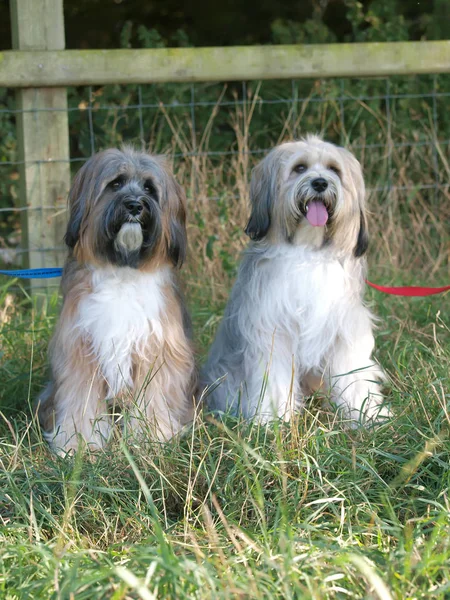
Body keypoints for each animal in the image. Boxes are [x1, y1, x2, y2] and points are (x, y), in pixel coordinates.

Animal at [39, 148, 198, 452]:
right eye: (115, 183)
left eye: (149, 188)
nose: (135, 205)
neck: (123, 271)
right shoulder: (81, 349)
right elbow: (81, 401)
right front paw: (78, 444)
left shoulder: (157, 350)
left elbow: (152, 399)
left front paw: (151, 438)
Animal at [202, 136, 388, 426]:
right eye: (300, 168)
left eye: (334, 170)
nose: (320, 183)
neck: (308, 251)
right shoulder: (273, 331)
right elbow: (274, 381)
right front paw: (274, 420)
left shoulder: (345, 328)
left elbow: (354, 375)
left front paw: (366, 414)